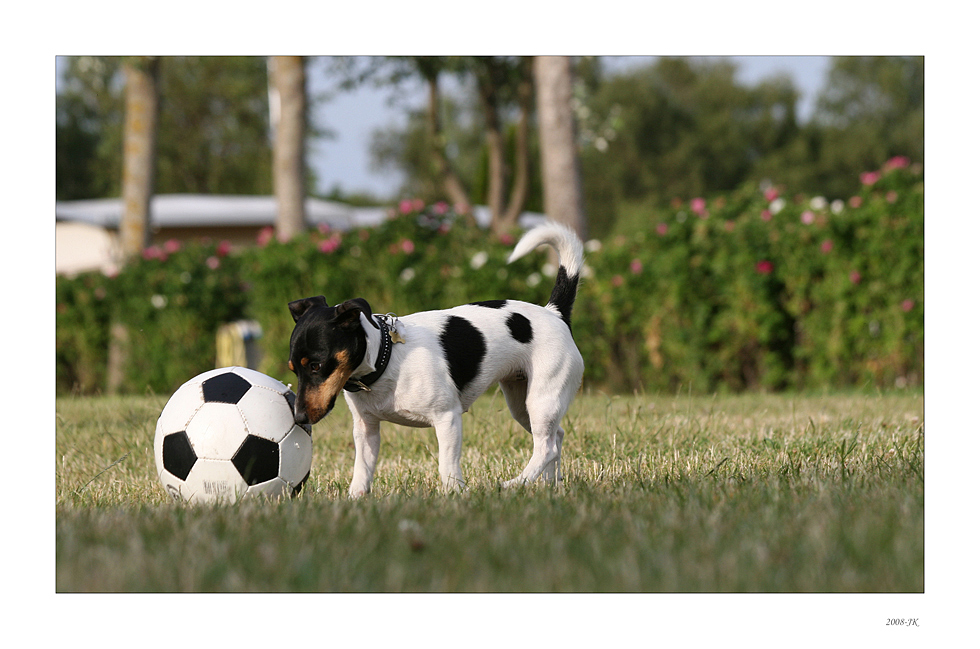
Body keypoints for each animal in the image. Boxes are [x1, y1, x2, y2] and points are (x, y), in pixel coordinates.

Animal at [288, 219, 584, 496]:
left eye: (316, 365)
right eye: (293, 370)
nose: (299, 418)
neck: (387, 358)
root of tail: (554, 312)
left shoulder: (447, 418)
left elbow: (447, 466)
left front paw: (456, 494)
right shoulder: (366, 429)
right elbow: (362, 470)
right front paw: (355, 499)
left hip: (542, 399)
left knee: (545, 448)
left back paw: (515, 483)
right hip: (522, 403)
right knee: (555, 438)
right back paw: (549, 484)